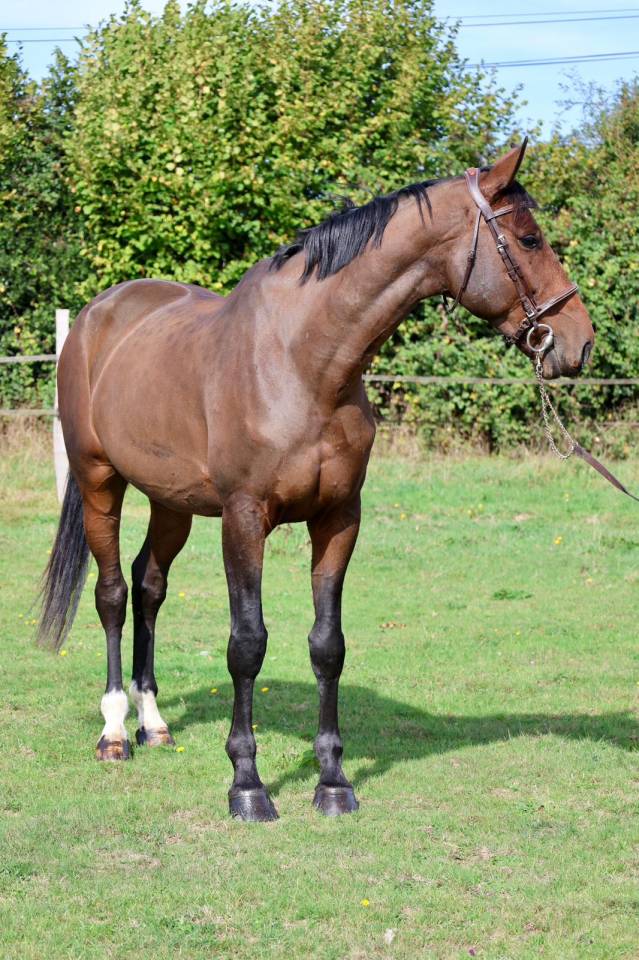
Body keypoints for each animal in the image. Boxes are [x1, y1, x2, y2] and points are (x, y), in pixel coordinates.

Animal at [38, 141, 594, 820]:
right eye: (530, 237)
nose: (580, 342)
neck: (303, 362)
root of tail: (95, 317)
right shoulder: (244, 520)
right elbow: (247, 644)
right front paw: (248, 785)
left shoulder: (338, 519)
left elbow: (328, 644)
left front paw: (332, 781)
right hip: (100, 483)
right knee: (114, 595)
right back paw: (116, 731)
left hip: (173, 503)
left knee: (149, 587)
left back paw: (154, 722)